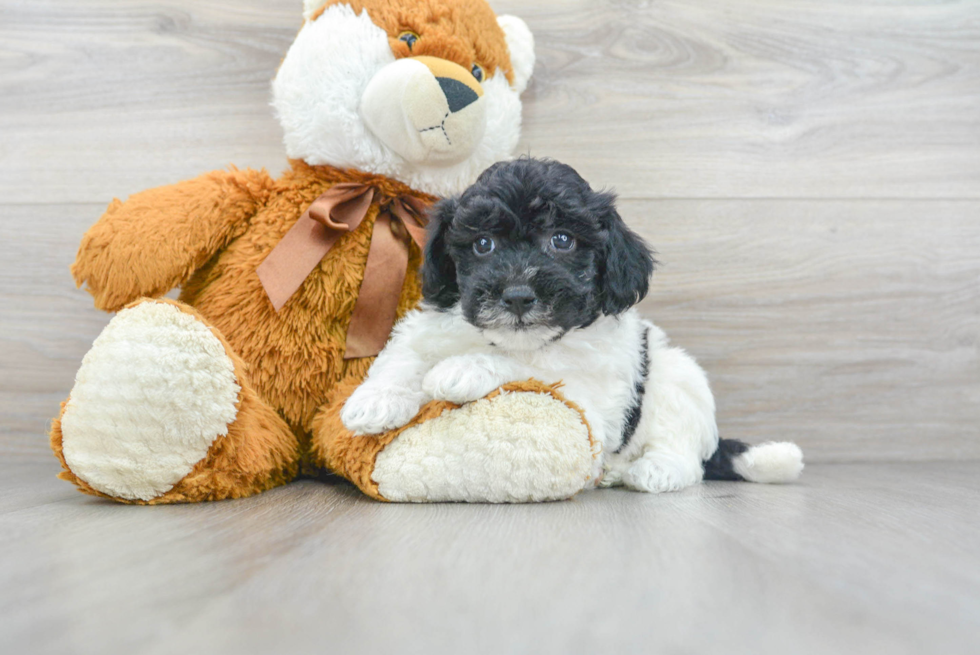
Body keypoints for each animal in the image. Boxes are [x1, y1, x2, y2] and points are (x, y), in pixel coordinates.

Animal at [340, 159, 800, 494]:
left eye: (562, 240)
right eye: (483, 244)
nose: (518, 295)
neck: (510, 338)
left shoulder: (588, 395)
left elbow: (531, 368)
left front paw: (463, 368)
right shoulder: (433, 323)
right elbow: (403, 354)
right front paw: (375, 401)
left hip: (678, 382)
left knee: (687, 451)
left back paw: (656, 470)